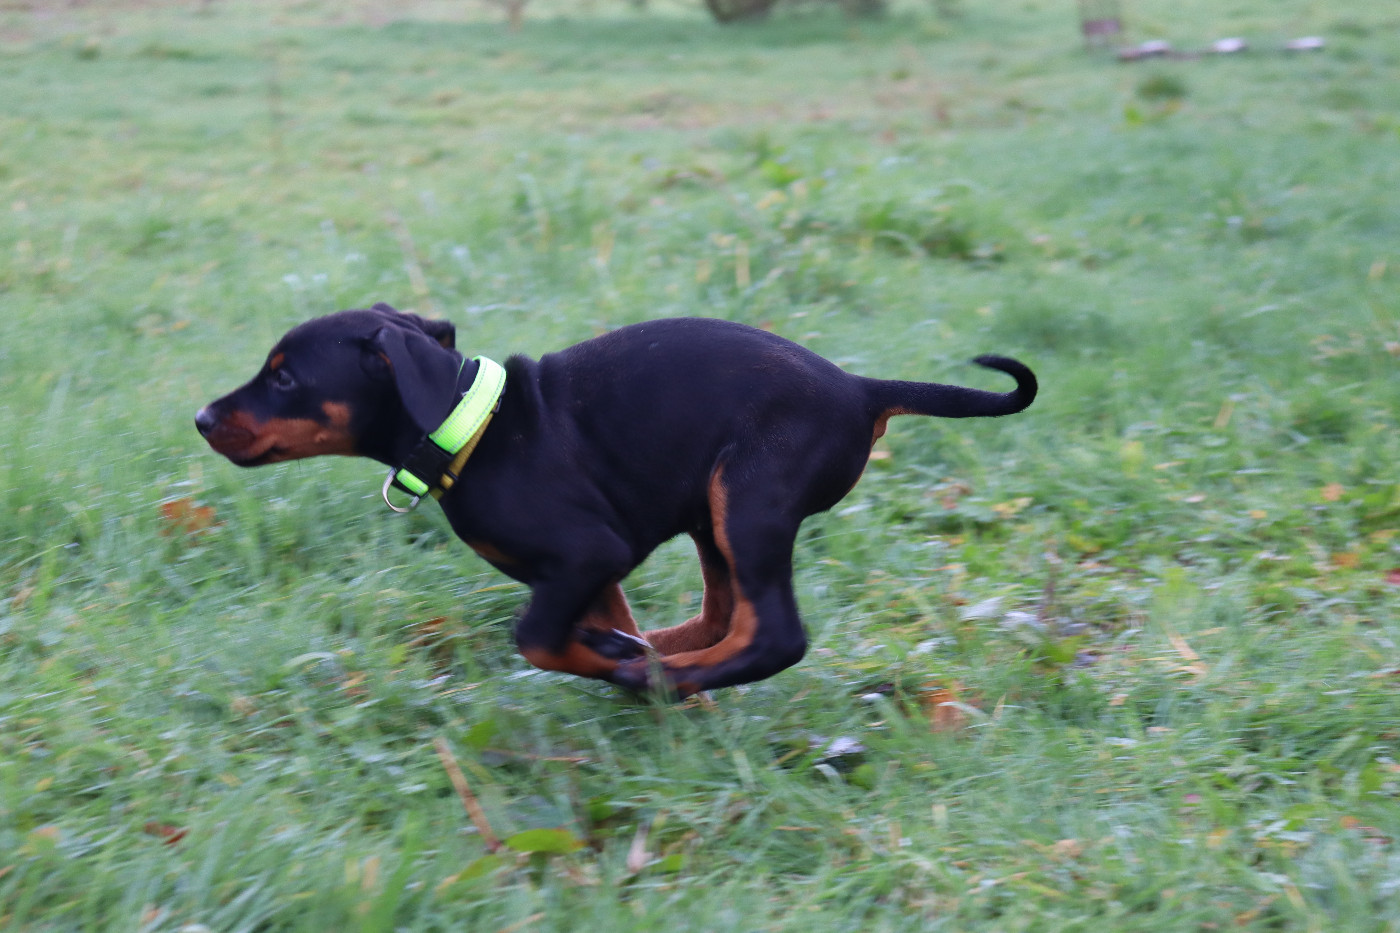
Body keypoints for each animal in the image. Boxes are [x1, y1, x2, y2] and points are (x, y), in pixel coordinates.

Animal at [196, 304, 1036, 697]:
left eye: (283, 376)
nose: (202, 416)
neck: (475, 429)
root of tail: (862, 391)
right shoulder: (587, 571)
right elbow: (589, 621)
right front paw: (613, 648)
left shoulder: (587, 553)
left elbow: (536, 636)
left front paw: (612, 664)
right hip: (711, 508)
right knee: (726, 614)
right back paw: (659, 657)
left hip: (750, 493)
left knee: (774, 633)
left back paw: (658, 676)